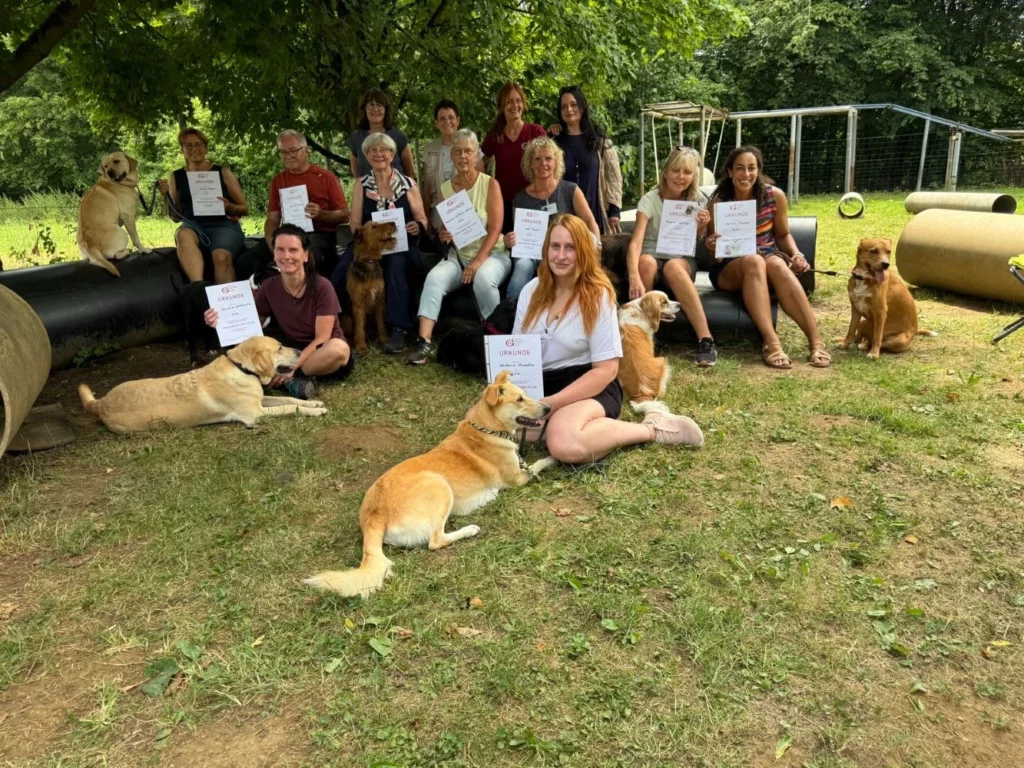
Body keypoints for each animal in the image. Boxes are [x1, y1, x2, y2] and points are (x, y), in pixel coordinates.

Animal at [78, 336, 326, 434]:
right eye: (279, 348)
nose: (300, 350)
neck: (241, 367)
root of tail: (101, 403)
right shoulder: (255, 414)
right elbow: (290, 407)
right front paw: (314, 411)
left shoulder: (260, 399)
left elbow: (288, 398)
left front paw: (314, 403)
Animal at [304, 370, 556, 598]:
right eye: (519, 399)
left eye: (525, 394)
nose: (548, 409)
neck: (487, 428)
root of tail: (373, 516)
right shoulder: (518, 478)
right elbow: (539, 464)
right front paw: (553, 459)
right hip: (439, 486)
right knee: (435, 541)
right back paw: (469, 529)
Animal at [346, 221, 397, 354]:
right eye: (373, 227)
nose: (393, 223)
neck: (369, 262)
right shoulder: (358, 304)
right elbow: (359, 328)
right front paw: (361, 346)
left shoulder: (380, 300)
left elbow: (381, 323)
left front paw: (385, 339)